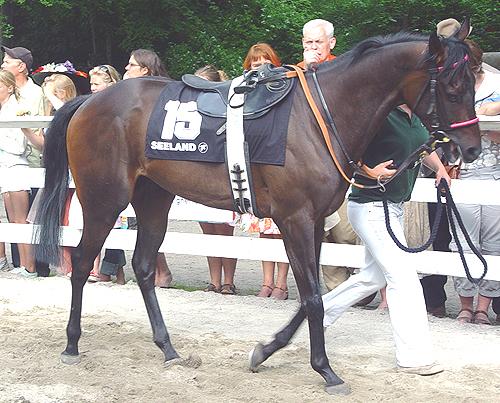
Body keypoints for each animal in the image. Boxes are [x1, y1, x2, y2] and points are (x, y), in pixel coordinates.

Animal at [35, 21, 479, 394]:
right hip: (103, 200)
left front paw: (267, 350)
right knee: (81, 261)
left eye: (474, 84)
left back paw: (168, 348)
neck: (319, 117)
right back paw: (72, 344)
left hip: (153, 198)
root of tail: (89, 102)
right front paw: (326, 370)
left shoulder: (313, 223)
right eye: (453, 88)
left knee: (143, 266)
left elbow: (310, 296)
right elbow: (313, 297)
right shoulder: (294, 219)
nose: (469, 149)